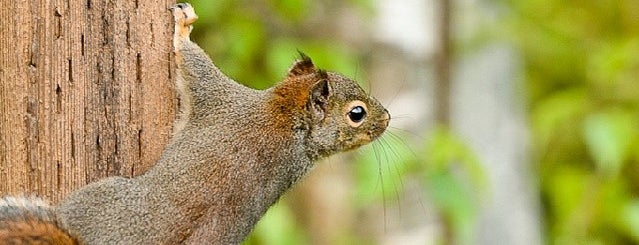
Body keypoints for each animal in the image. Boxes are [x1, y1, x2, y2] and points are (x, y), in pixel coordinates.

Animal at [0, 2, 390, 244]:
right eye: (358, 113)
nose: (385, 120)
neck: (288, 118)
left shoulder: (219, 96)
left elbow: (191, 58)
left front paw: (183, 26)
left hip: (101, 195)